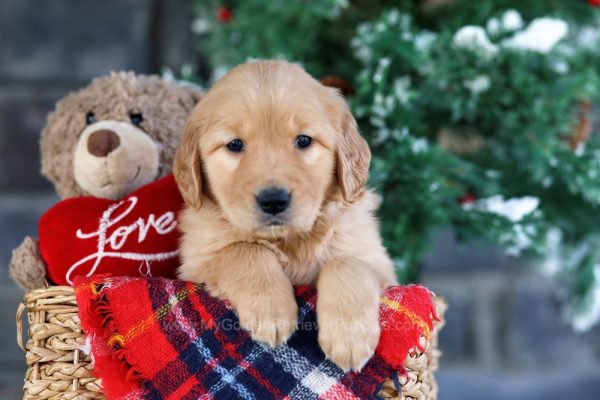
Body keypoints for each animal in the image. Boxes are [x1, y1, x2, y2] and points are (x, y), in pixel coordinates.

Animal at [175, 60, 398, 372]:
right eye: (234, 145)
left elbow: (347, 262)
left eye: (303, 140)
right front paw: (271, 309)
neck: (289, 241)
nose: (273, 201)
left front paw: (349, 336)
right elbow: (243, 249)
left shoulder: (380, 264)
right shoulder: (196, 262)